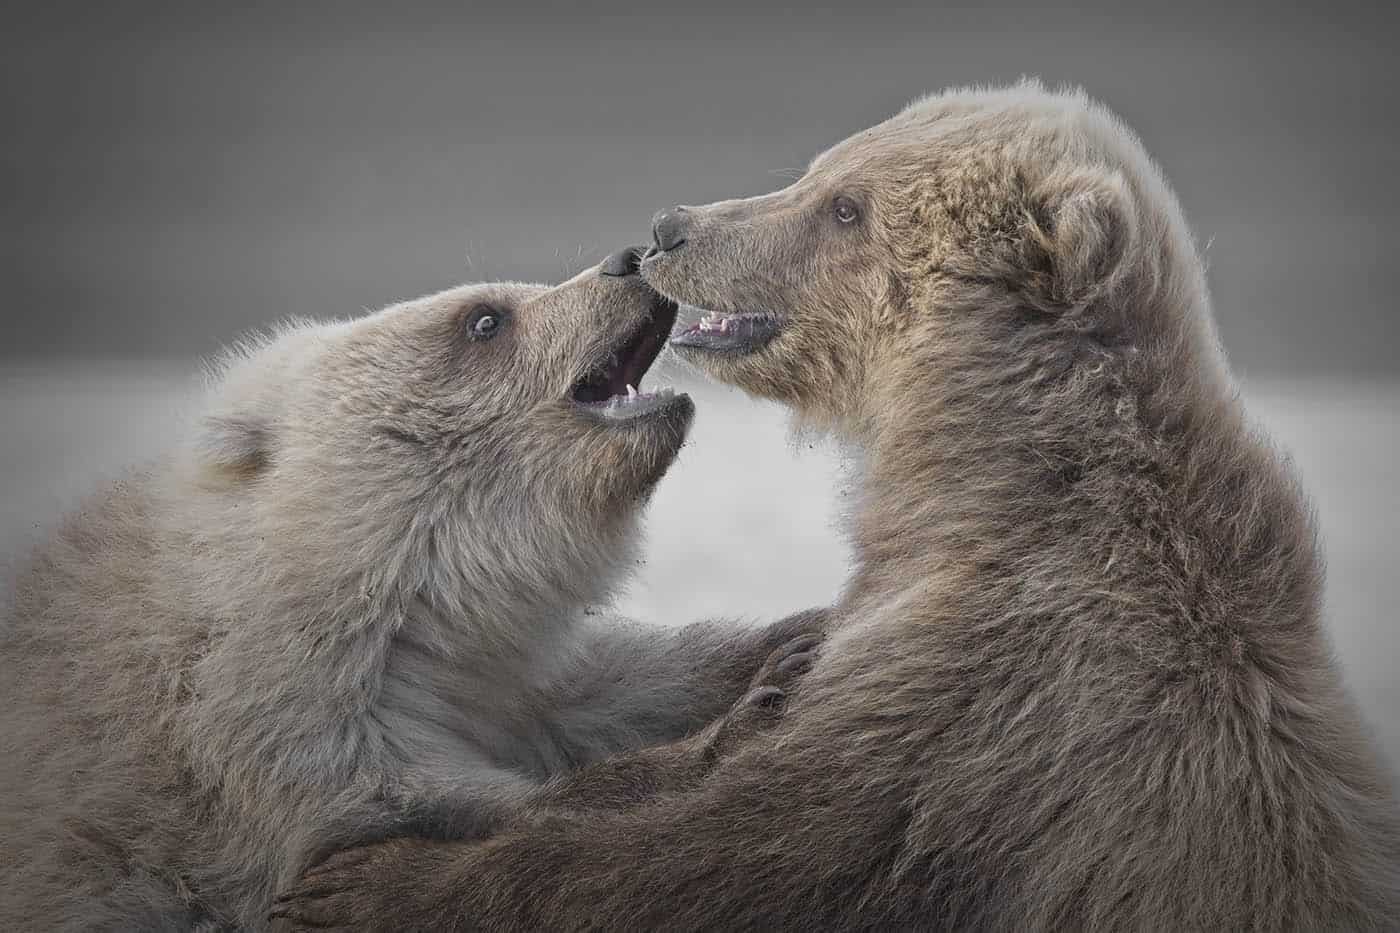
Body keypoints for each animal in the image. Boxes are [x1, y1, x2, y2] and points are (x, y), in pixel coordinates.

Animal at [0, 249, 823, 930]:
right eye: (484, 318)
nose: (627, 259)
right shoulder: (255, 720)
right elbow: (413, 802)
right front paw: (727, 729)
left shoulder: (493, 658)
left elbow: (613, 685)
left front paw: (790, 637)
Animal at [273, 81, 1400, 930]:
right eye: (820, 171)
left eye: (846, 207)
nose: (669, 227)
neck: (970, 476)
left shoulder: (990, 698)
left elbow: (727, 851)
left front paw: (365, 881)